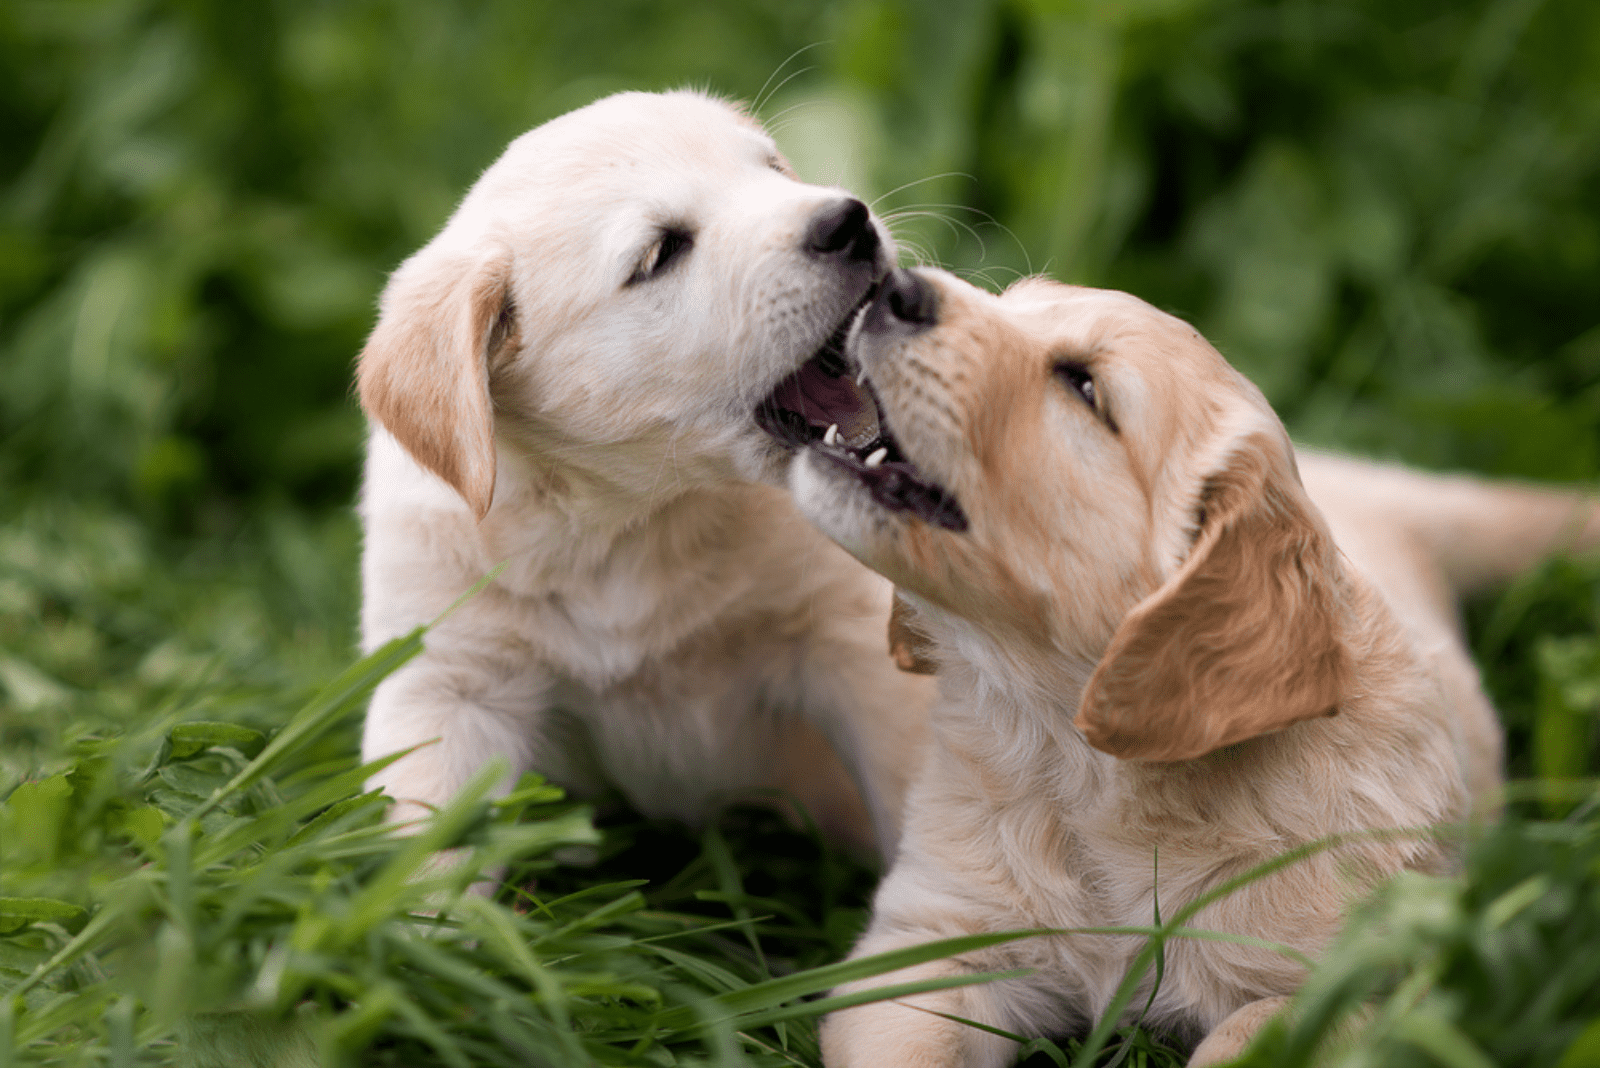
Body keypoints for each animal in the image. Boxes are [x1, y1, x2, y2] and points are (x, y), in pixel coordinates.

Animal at [353, 89, 934, 856]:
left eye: (774, 169)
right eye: (662, 252)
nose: (849, 220)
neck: (635, 522)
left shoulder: (854, 639)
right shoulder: (448, 681)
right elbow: (428, 845)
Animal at [777, 268, 1600, 1068]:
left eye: (1083, 386)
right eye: (1009, 303)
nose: (892, 284)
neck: (1075, 767)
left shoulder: (1364, 987)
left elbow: (1247, 1035)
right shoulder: (931, 947)